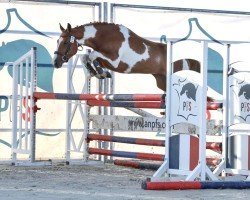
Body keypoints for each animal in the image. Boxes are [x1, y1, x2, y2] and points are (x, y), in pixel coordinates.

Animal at [52, 22, 199, 90]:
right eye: (57, 41)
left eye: (65, 42)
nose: (56, 63)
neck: (105, 37)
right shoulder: (106, 59)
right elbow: (86, 57)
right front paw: (97, 72)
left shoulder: (114, 61)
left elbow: (93, 55)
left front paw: (101, 73)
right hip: (162, 81)